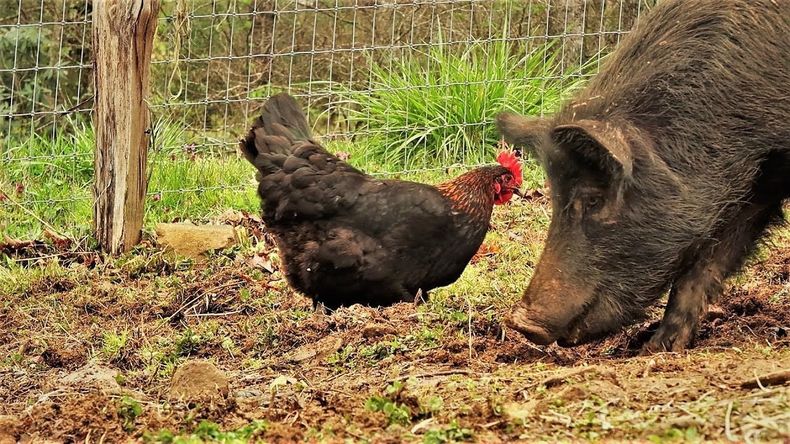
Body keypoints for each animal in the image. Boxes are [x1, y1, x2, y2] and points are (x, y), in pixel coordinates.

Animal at [497, 0, 789, 352]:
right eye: (554, 199)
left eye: (594, 199)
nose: (521, 323)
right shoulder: (757, 181)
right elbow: (706, 265)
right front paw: (658, 348)